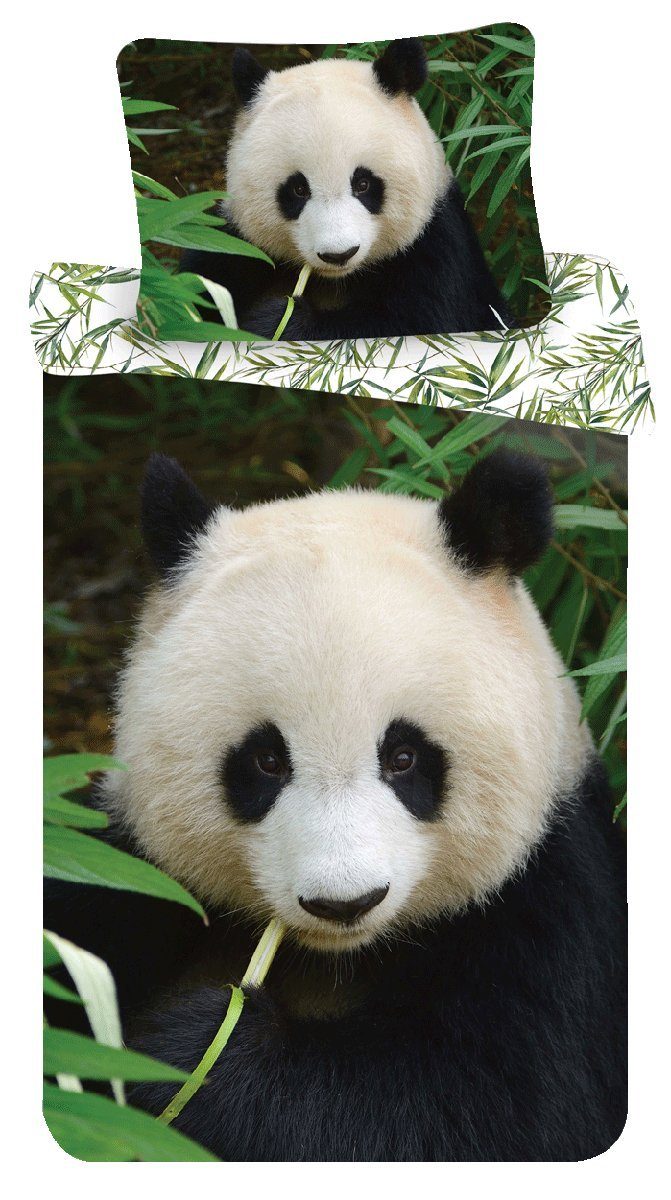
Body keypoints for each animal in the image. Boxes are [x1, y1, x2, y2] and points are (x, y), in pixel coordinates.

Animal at [45, 449, 626, 1162]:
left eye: (403, 757)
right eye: (267, 761)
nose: (344, 902)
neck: (334, 956)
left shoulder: (551, 906)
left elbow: (480, 1111)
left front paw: (193, 1054)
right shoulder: (128, 869)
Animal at [180, 40, 513, 340]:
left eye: (363, 184)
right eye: (298, 189)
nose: (338, 254)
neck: (336, 280)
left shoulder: (437, 248)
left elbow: (413, 323)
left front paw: (279, 322)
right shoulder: (233, 244)